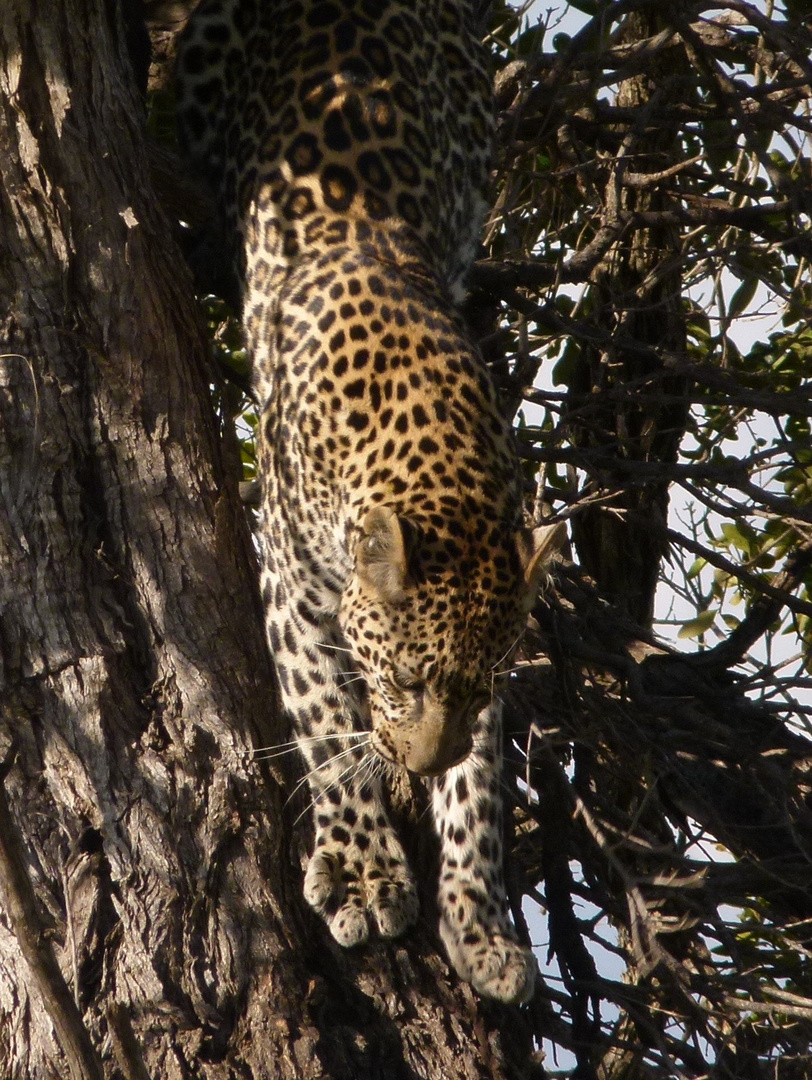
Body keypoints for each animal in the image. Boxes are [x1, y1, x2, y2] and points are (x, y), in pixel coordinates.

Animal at [176, 0, 565, 1002]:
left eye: (477, 686)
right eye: (403, 680)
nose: (419, 763)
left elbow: (481, 796)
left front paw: (482, 923)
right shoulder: (287, 576)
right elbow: (324, 722)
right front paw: (360, 869)